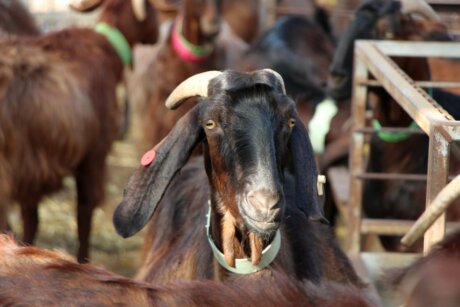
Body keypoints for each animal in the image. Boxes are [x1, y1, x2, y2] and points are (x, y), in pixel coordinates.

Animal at [0, 0, 160, 264]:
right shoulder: (93, 154)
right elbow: (84, 212)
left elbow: (31, 221)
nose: (157, 35)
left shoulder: (31, 173)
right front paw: (83, 260)